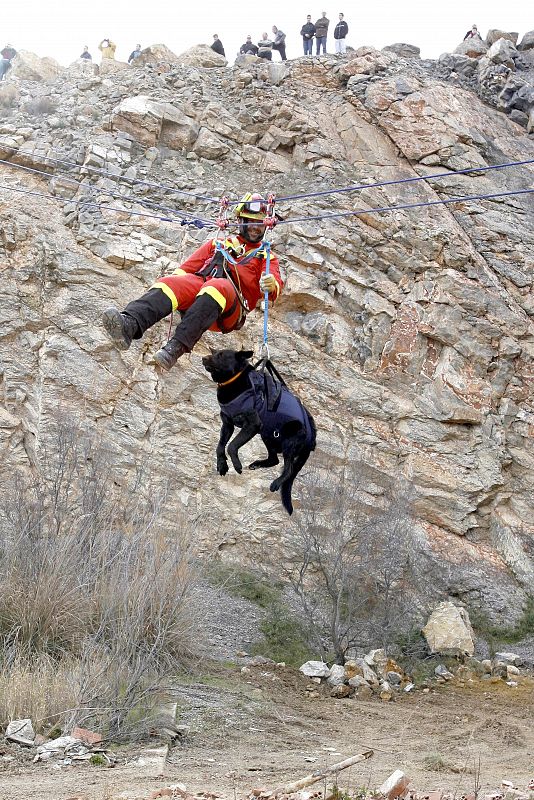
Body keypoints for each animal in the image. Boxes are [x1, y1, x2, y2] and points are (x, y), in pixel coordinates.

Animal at [203, 352, 316, 516]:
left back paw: (276, 483)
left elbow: (231, 446)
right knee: (274, 459)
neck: (234, 381)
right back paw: (257, 464)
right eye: (214, 352)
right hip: (268, 434)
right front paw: (222, 465)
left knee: (288, 469)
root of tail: (312, 438)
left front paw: (237, 465)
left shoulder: (252, 425)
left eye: (221, 355)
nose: (203, 358)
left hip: (289, 439)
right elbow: (220, 447)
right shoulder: (227, 425)